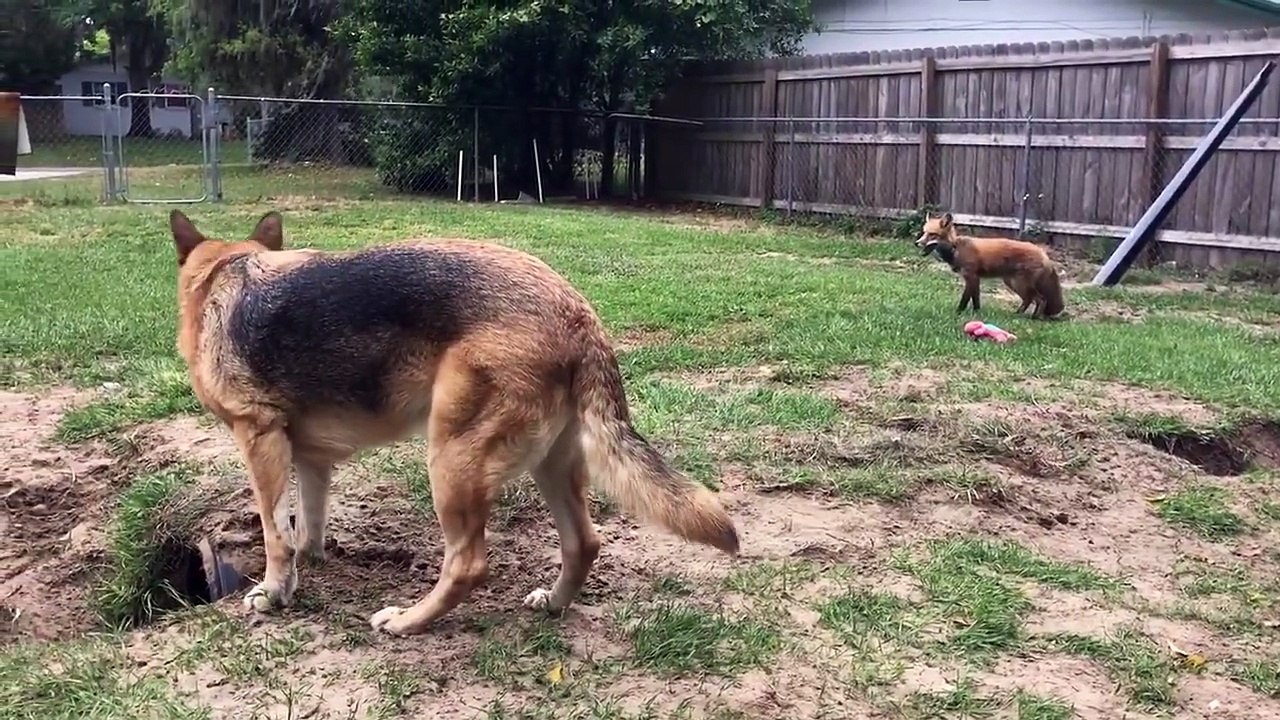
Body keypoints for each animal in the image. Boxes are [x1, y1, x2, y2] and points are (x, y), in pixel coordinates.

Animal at [914, 212, 1065, 319]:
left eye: (932, 235)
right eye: (924, 232)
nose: (916, 243)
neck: (956, 248)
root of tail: (1044, 254)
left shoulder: (971, 277)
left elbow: (964, 300)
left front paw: (958, 313)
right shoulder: (975, 279)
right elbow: (976, 300)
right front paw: (976, 313)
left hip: (1021, 284)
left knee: (1041, 299)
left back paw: (1034, 318)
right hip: (1012, 283)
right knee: (1029, 300)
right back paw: (1017, 314)